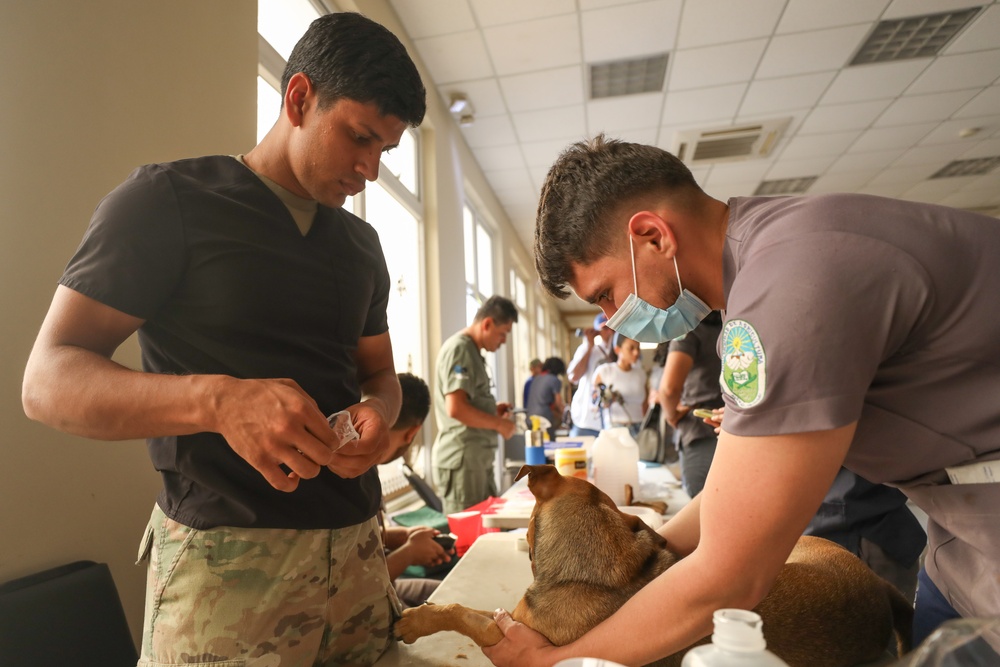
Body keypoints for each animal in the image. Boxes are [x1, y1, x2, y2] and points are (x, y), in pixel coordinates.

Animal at [394, 464, 912, 667]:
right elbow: (462, 608)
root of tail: (880, 591)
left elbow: (460, 612)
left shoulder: (507, 633)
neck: (594, 574)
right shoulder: (509, 618)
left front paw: (415, 621)